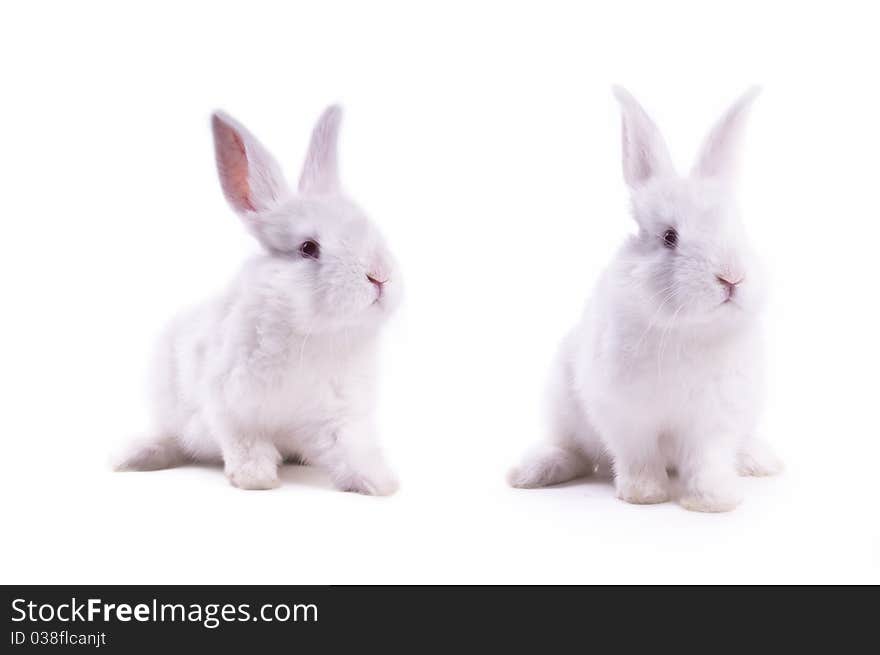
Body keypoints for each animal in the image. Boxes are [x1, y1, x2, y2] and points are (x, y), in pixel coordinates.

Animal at [116, 107, 402, 494]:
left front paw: (380, 482)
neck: (313, 336)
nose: (380, 275)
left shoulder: (340, 417)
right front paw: (256, 479)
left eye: (369, 228)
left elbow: (350, 449)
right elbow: (247, 445)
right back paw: (135, 456)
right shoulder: (231, 410)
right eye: (308, 248)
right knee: (173, 439)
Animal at [508, 86, 784, 512]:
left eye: (738, 229)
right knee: (573, 450)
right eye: (669, 237)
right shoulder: (626, 416)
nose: (731, 277)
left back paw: (762, 460)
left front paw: (713, 500)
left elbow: (708, 460)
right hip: (563, 407)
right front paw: (644, 494)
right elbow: (638, 456)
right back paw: (531, 472)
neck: (690, 332)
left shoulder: (714, 420)